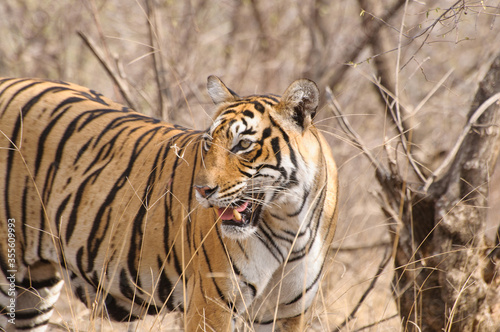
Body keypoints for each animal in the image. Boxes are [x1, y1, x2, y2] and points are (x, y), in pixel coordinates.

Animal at [0, 76, 338, 332]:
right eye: (208, 143)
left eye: (243, 144)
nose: (202, 190)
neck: (288, 219)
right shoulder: (211, 303)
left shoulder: (287, 311)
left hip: (35, 290)